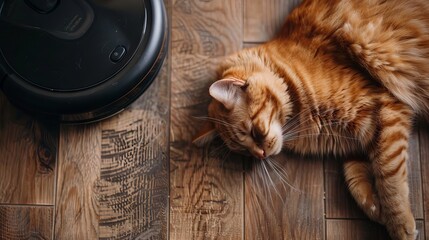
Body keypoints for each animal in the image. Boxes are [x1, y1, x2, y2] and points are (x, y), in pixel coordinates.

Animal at [192, 0, 428, 238]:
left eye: (255, 132)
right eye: (243, 150)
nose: (260, 155)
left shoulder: (383, 109)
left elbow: (389, 176)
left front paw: (399, 224)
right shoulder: (360, 138)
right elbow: (356, 176)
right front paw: (376, 208)